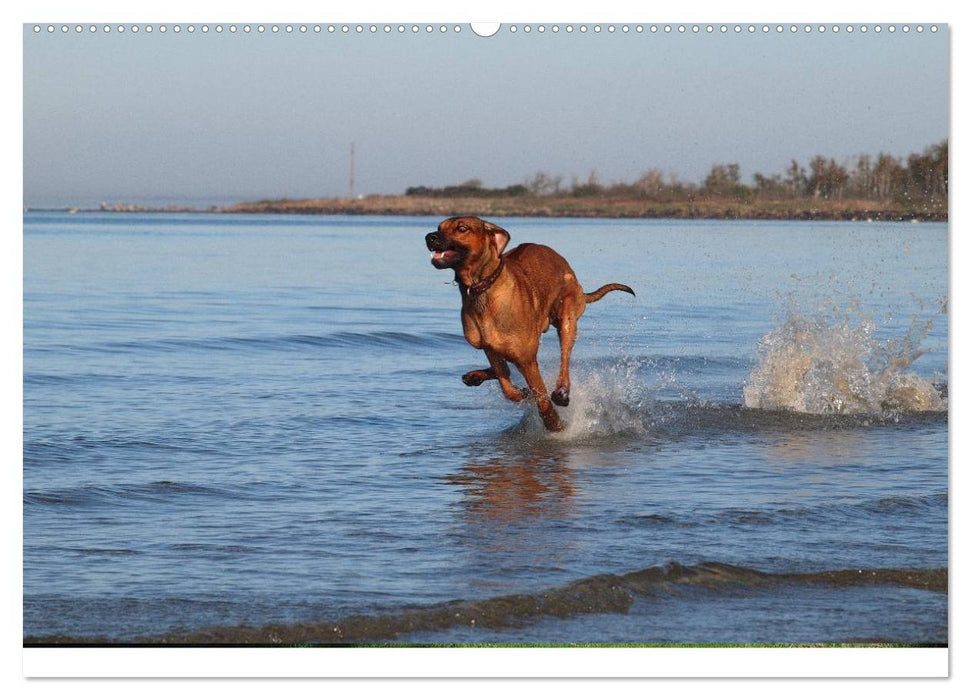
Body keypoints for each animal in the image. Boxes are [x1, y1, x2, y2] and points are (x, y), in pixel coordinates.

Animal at [424, 216, 636, 432]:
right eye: (439, 227)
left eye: (462, 228)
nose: (429, 237)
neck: (482, 287)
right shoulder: (489, 347)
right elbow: (507, 386)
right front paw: (522, 393)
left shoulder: (527, 360)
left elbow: (541, 397)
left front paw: (554, 423)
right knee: (507, 369)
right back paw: (475, 376)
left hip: (567, 315)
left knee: (564, 359)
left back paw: (562, 392)